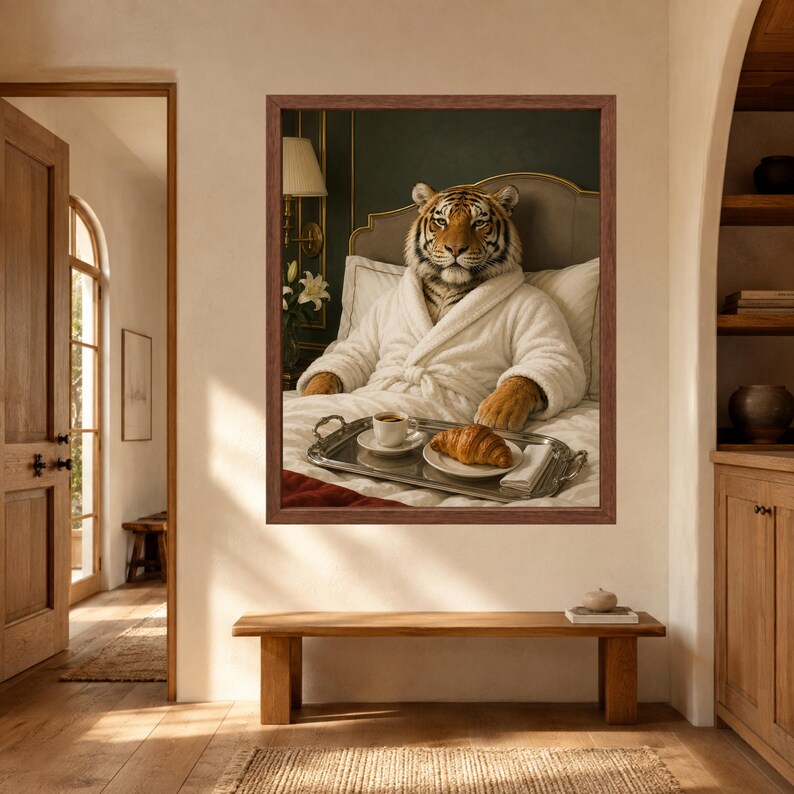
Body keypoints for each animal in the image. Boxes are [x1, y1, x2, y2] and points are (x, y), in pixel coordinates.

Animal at [303, 182, 547, 431]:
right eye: (441, 221)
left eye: (479, 223)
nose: (455, 248)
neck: (448, 285)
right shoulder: (366, 332)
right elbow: (346, 358)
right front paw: (312, 397)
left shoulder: (538, 317)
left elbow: (529, 369)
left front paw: (498, 412)